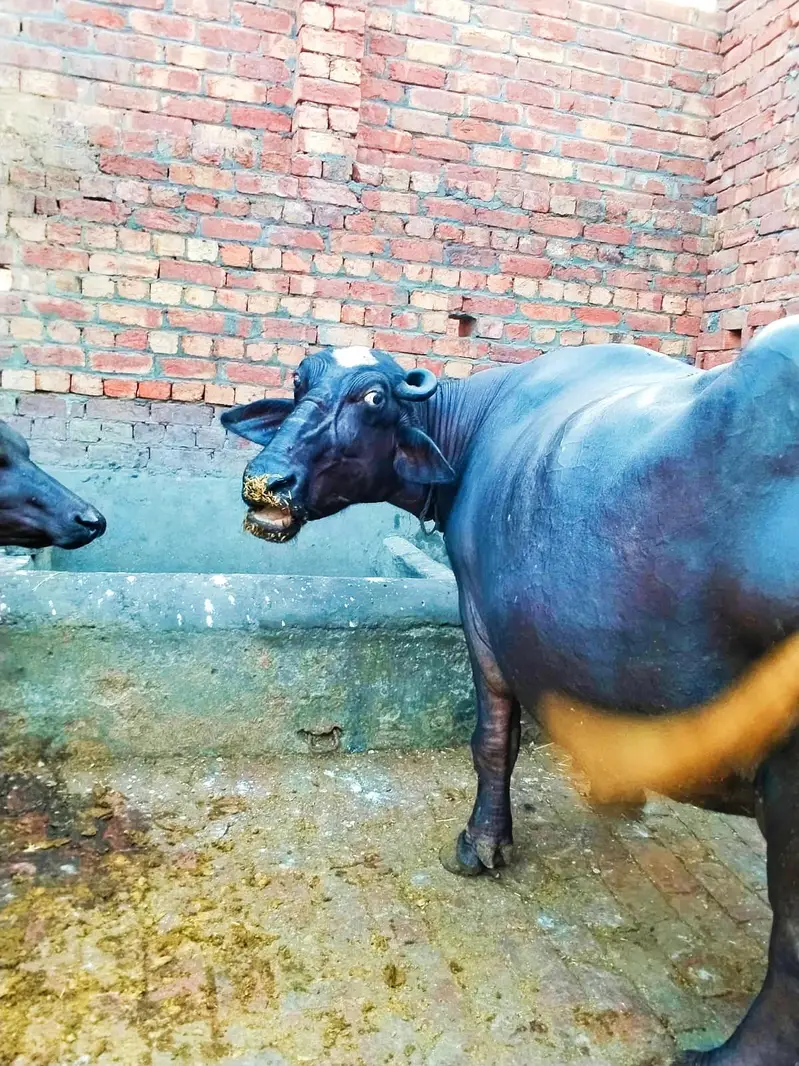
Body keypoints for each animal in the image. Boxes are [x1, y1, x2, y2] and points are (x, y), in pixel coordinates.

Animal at [222, 322, 799, 1065]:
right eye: (298, 383)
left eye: (374, 398)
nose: (266, 480)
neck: (475, 431)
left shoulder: (479, 617)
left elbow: (494, 738)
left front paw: (481, 844)